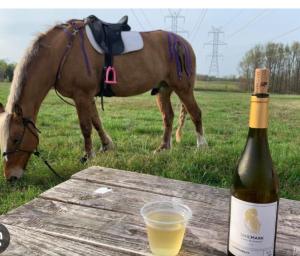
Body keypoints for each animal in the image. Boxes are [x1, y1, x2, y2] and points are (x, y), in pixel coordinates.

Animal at [0, 18, 206, 180]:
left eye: (16, 139)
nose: (11, 177)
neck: (63, 52)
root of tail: (183, 43)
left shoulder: (81, 95)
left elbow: (86, 127)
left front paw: (87, 156)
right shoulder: (88, 97)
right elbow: (97, 122)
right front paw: (106, 146)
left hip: (183, 88)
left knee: (195, 113)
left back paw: (201, 147)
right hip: (164, 89)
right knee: (168, 116)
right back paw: (163, 148)